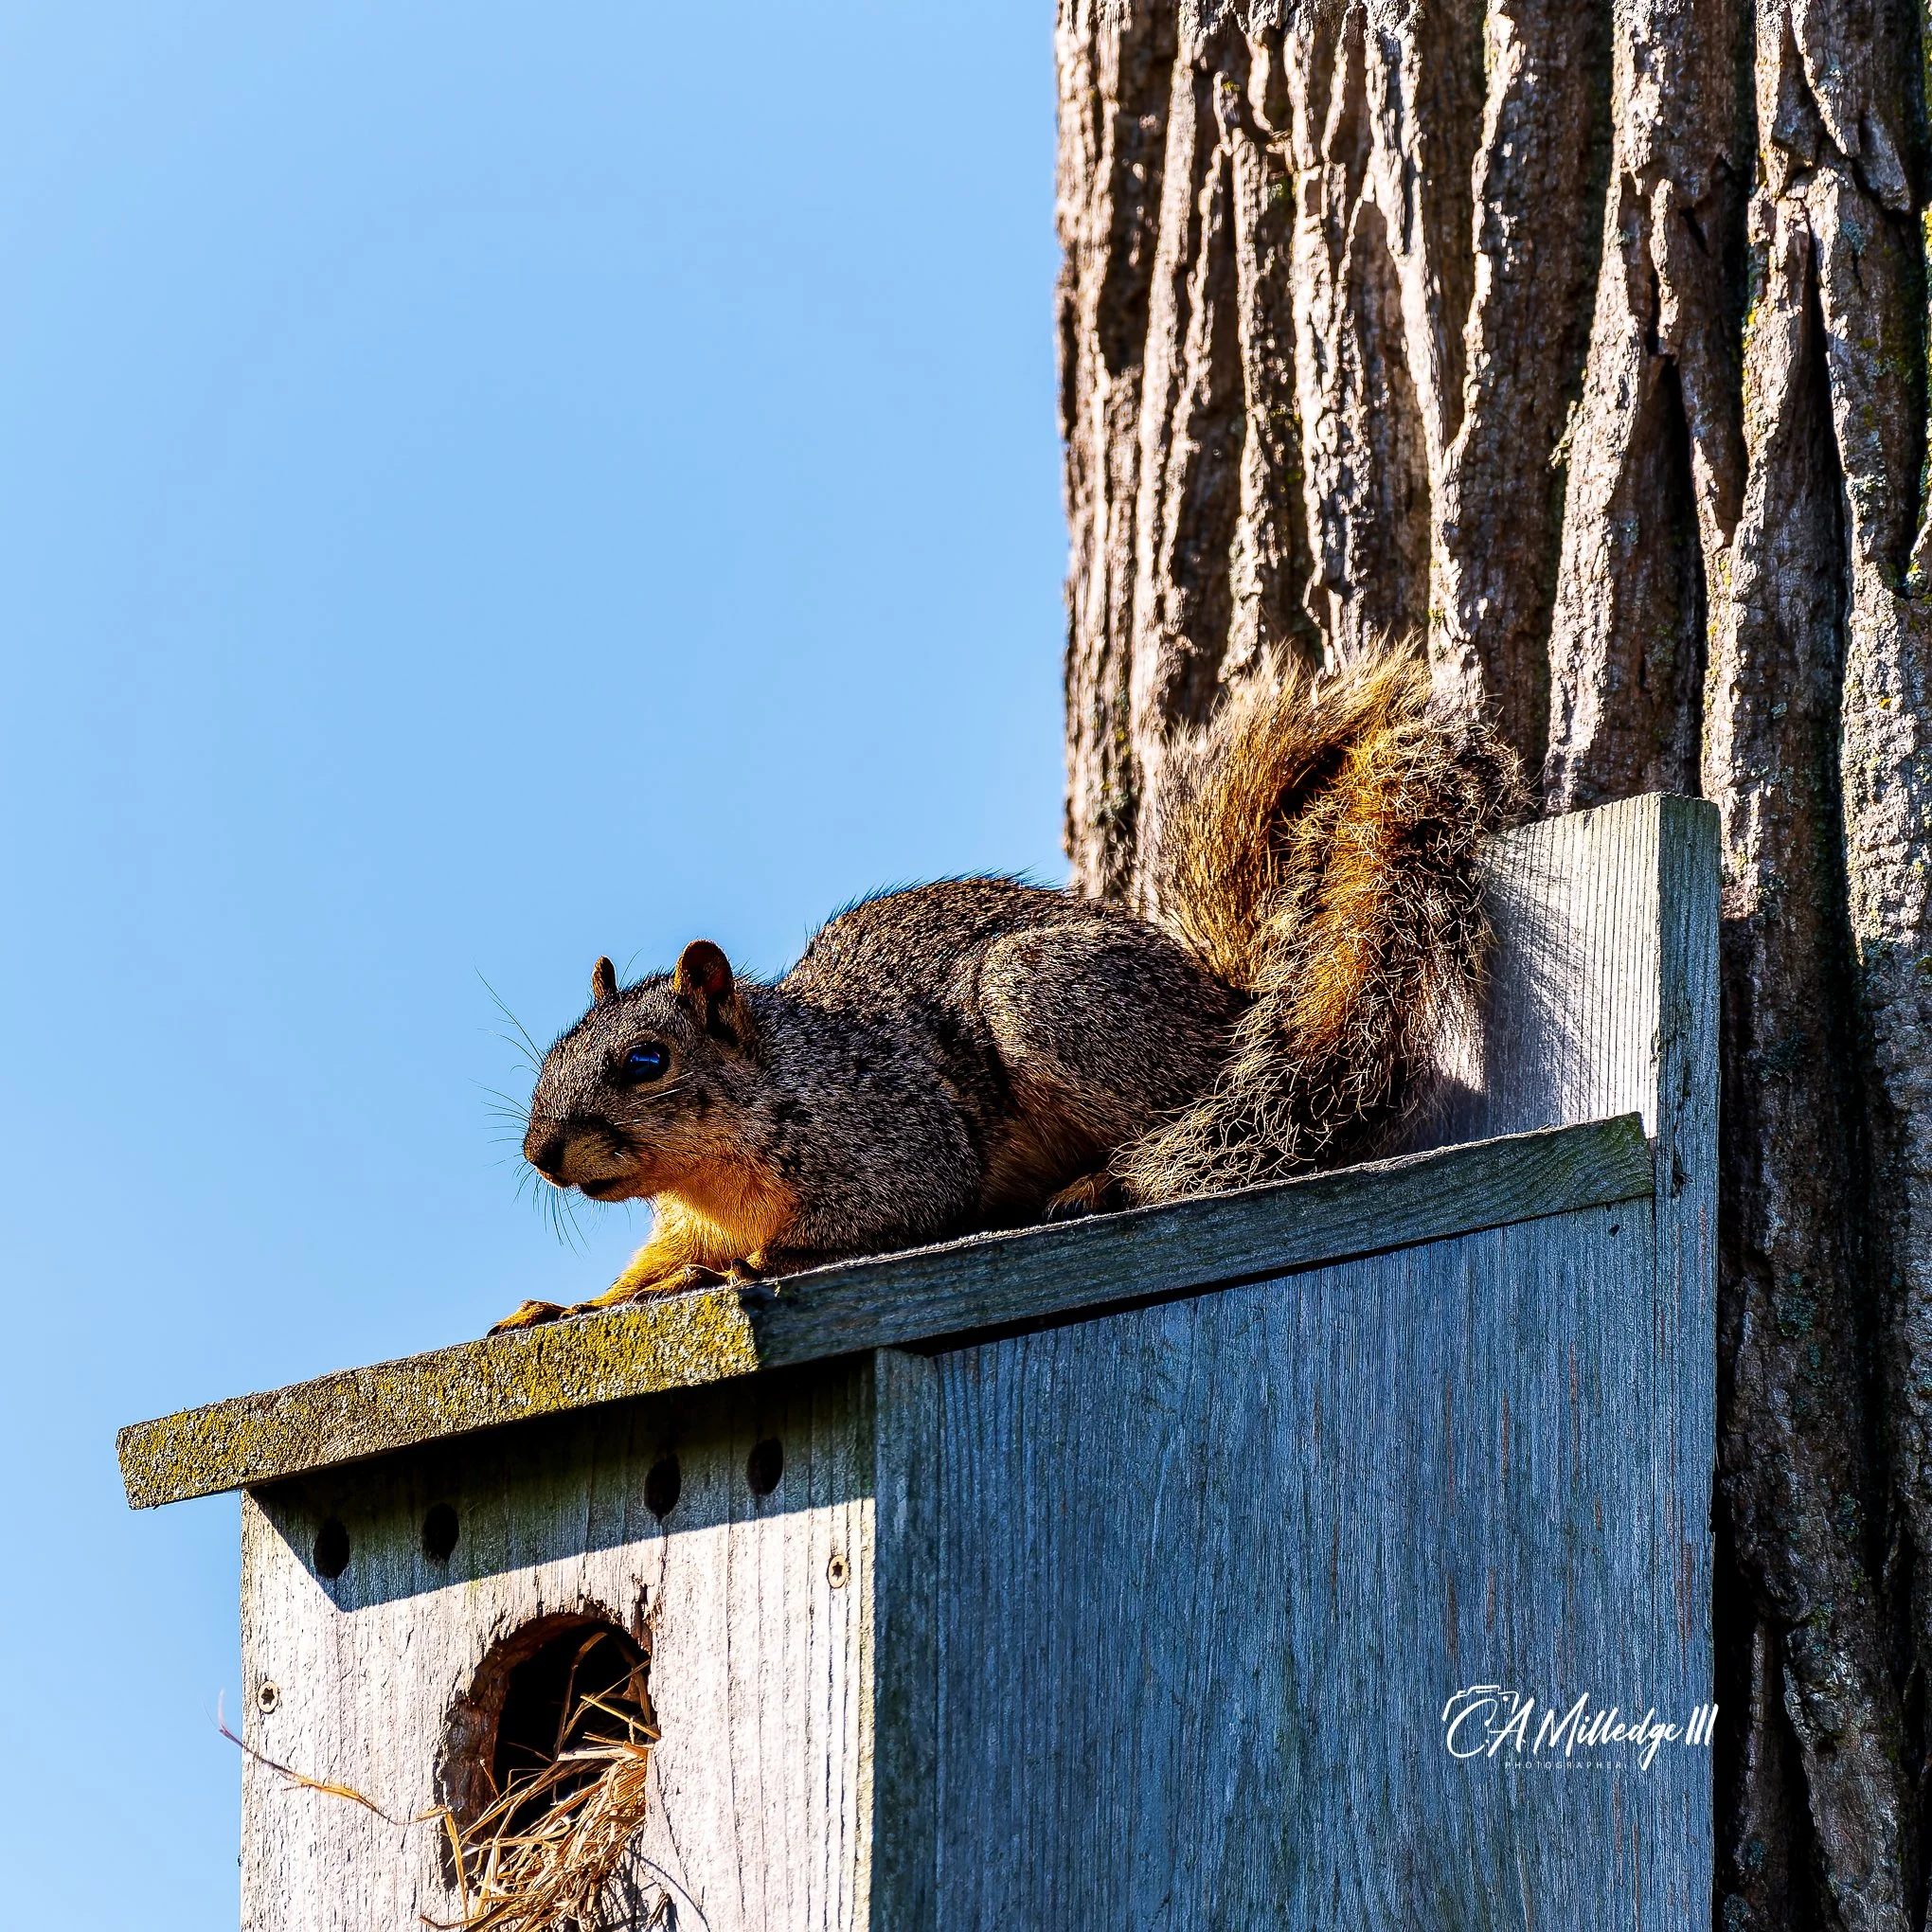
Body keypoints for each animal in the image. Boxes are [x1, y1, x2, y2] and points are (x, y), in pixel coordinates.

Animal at [492, 649, 1522, 1331]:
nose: (542, 1155)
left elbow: (872, 1220)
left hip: (1046, 1000)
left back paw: (1105, 1177)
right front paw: (573, 1302)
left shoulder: (894, 1145)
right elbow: (646, 1266)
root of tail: (1229, 1001)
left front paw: (725, 1273)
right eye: (550, 1057)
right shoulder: (684, 1217)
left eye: (646, 1061)